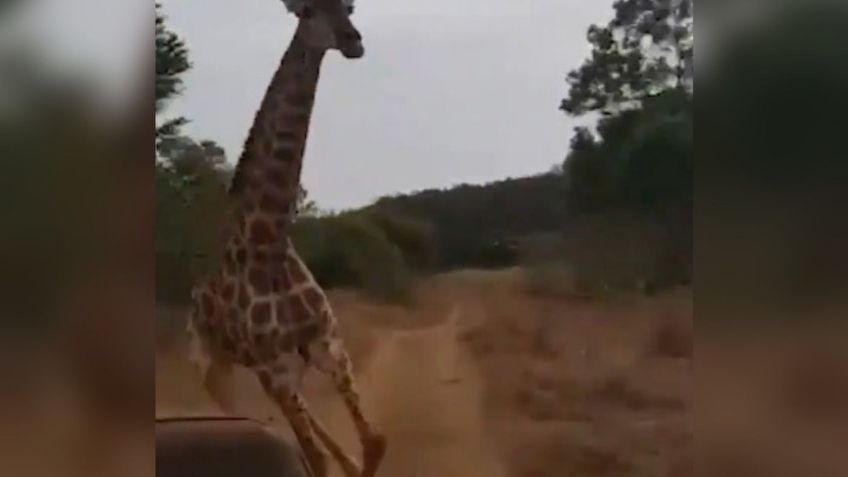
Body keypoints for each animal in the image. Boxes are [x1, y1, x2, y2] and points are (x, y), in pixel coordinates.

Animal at [186, 1, 384, 474]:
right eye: (308, 11)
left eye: (350, 6)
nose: (353, 41)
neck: (269, 243)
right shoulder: (275, 366)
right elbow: (319, 457)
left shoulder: (327, 343)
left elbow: (373, 442)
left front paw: (354, 459)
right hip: (216, 370)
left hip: (278, 367)